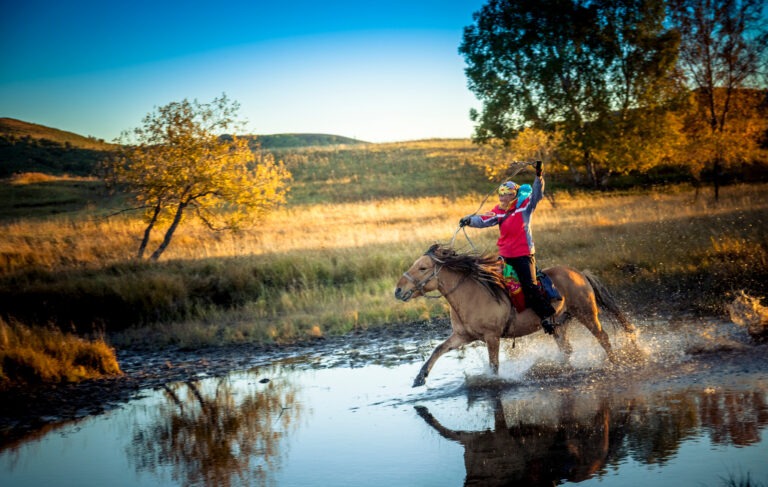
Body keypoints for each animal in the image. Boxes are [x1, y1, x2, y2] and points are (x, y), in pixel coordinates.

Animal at [394, 243, 638, 387]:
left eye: (423, 268)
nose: (398, 290)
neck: (471, 294)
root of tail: (580, 274)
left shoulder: (491, 337)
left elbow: (494, 366)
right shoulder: (463, 336)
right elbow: (438, 349)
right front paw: (419, 378)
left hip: (586, 313)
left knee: (603, 338)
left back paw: (616, 364)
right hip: (560, 323)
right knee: (567, 349)